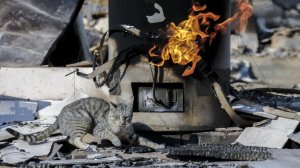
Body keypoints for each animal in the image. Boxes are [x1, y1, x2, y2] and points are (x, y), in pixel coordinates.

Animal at [5, 97, 164, 150]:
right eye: (116, 117)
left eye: (126, 117)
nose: (122, 124)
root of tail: (59, 115)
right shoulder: (99, 130)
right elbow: (110, 134)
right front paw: (117, 141)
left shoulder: (131, 135)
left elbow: (146, 140)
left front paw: (159, 145)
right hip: (84, 120)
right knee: (74, 139)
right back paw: (87, 146)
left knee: (70, 139)